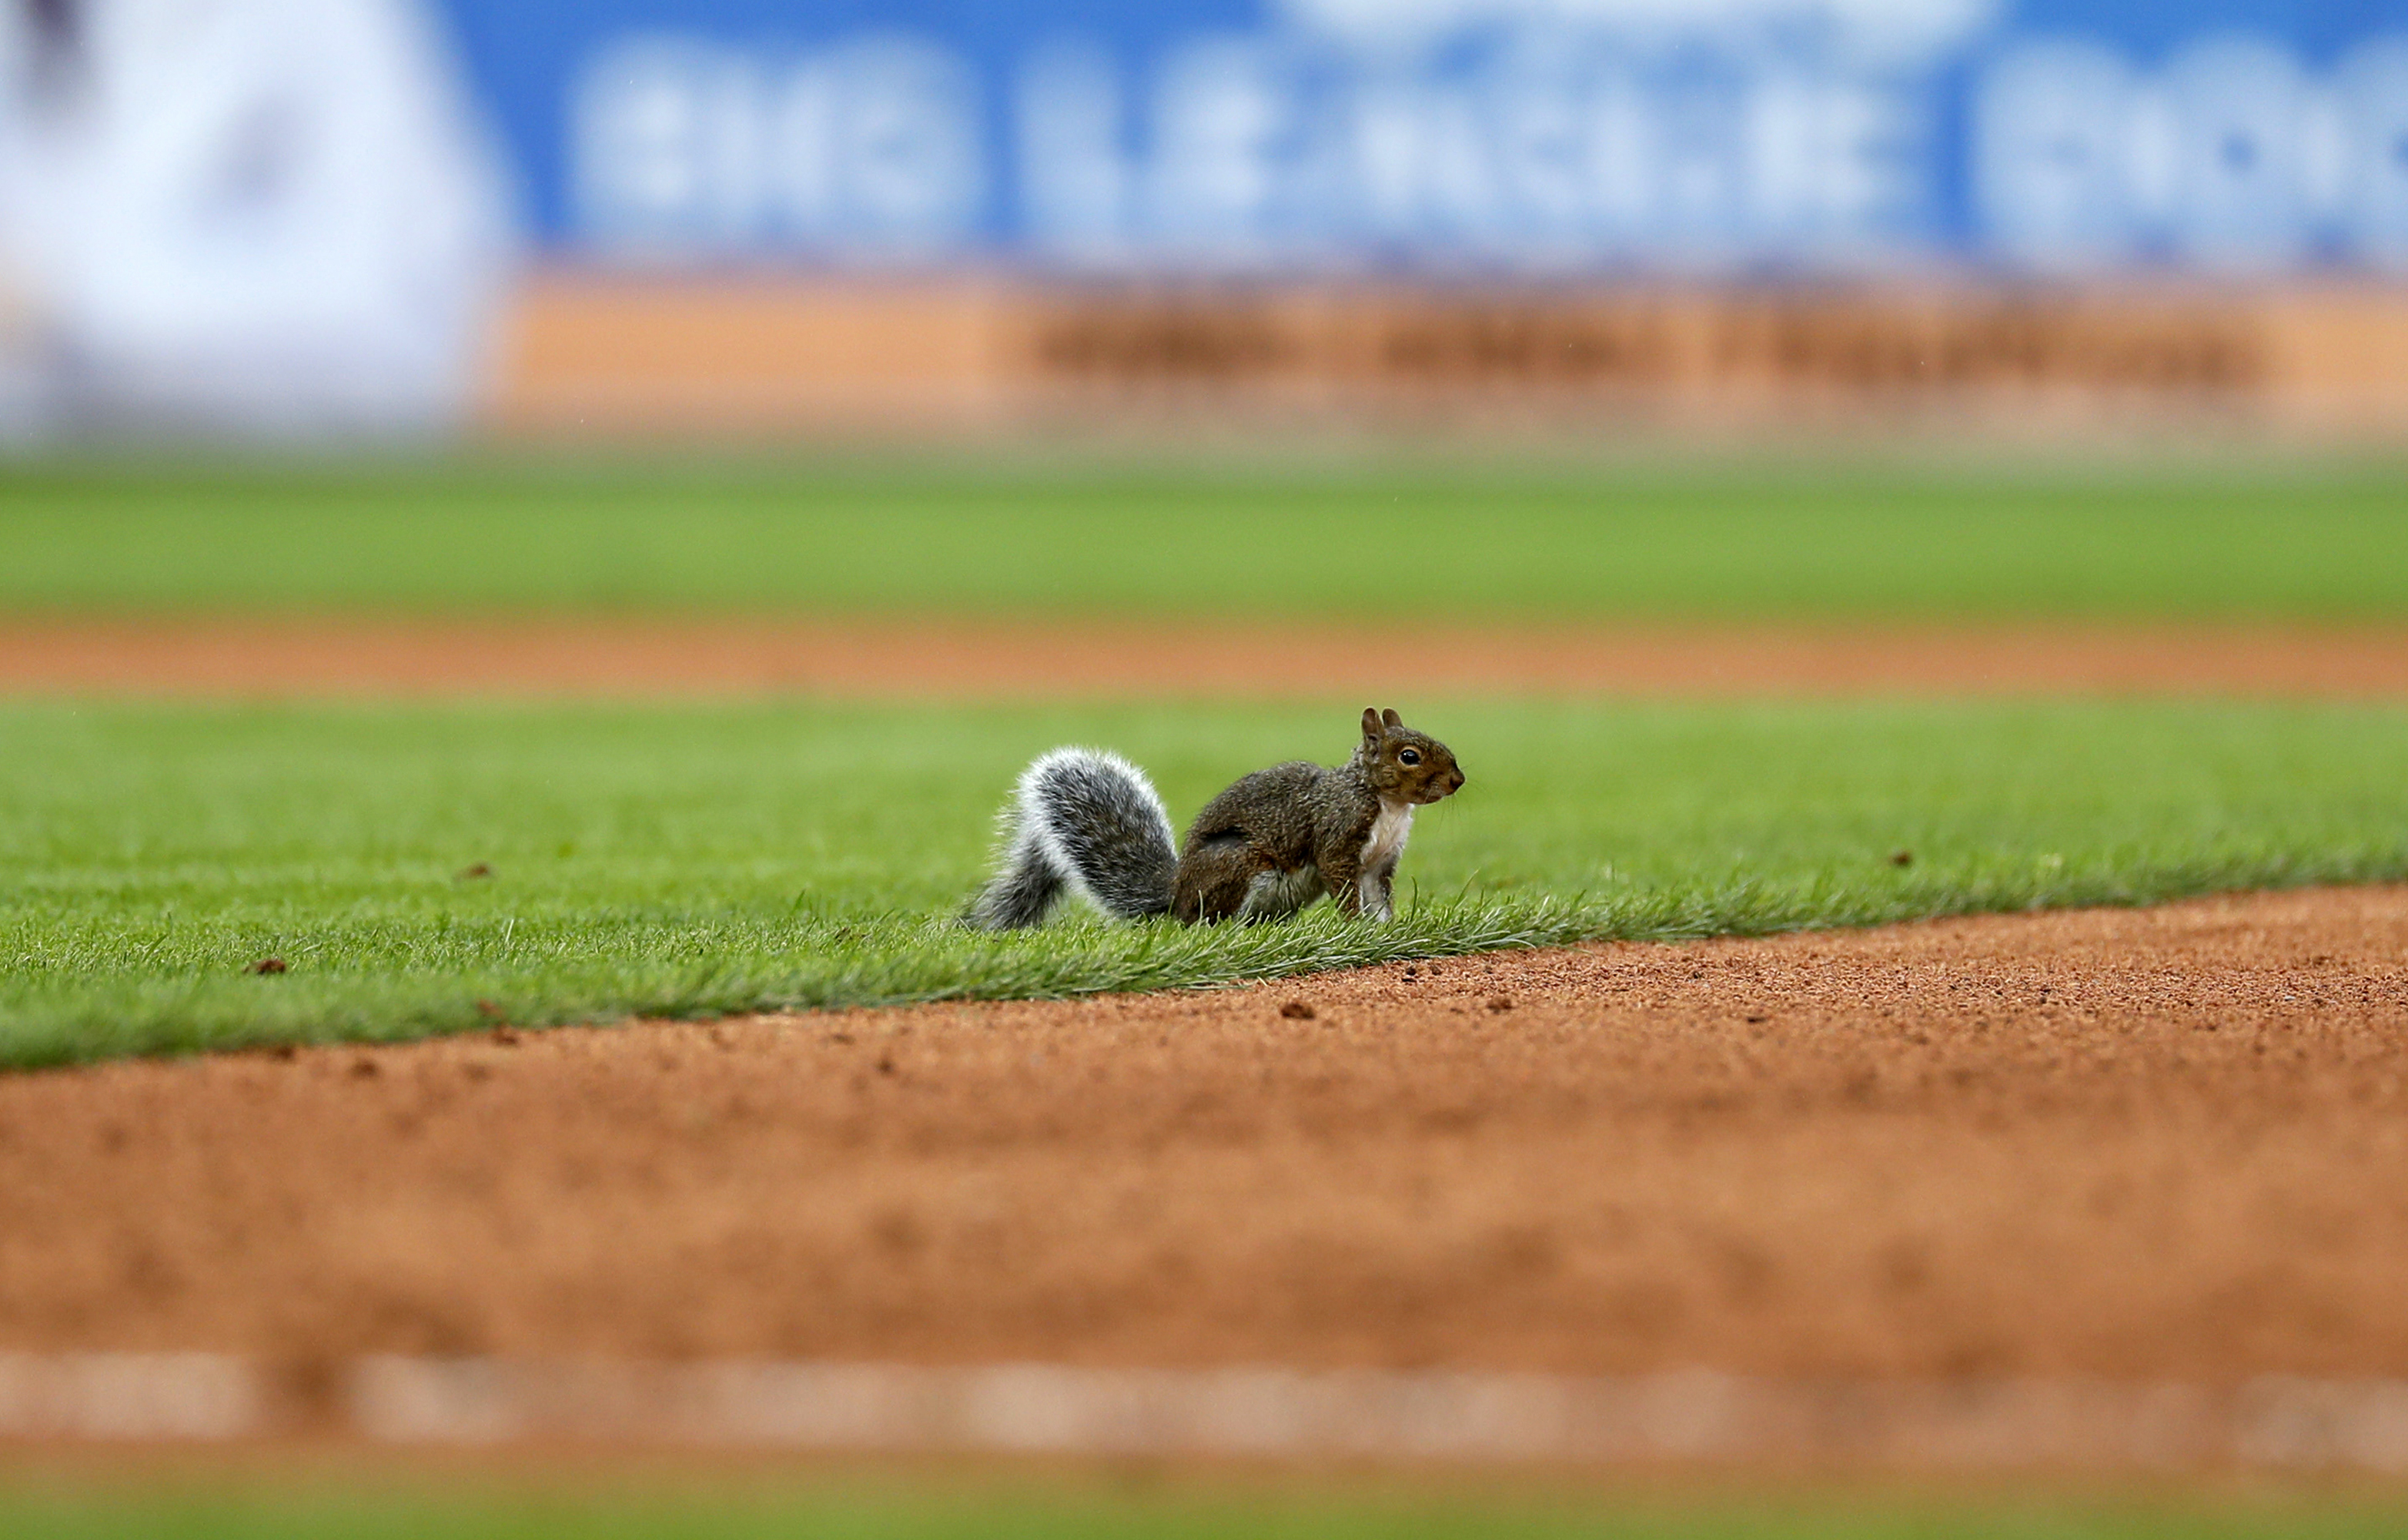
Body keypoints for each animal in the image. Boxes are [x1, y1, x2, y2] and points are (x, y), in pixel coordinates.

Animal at [963, 708, 1454, 925]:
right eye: (1409, 756)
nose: (1458, 779)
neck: (1387, 804)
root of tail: (1176, 895)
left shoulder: (1381, 861)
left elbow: (1378, 896)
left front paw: (1387, 929)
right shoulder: (1338, 837)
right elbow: (1345, 887)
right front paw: (1354, 927)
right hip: (1239, 864)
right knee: (1210, 919)